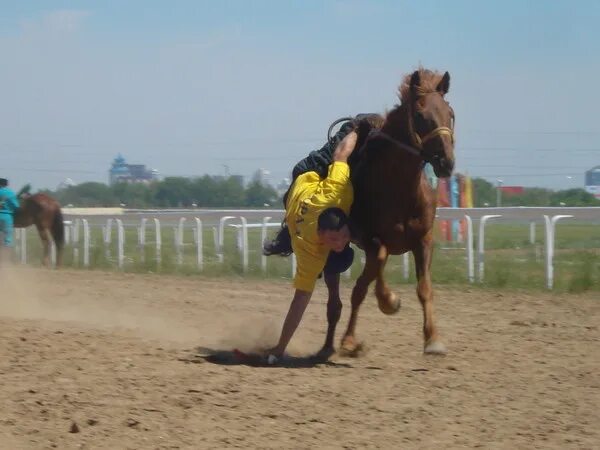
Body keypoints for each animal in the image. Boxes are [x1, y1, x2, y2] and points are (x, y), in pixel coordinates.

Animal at [318, 67, 454, 358]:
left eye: (450, 113)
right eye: (420, 116)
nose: (446, 162)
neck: (400, 189)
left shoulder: (424, 240)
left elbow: (424, 288)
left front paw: (433, 340)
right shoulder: (370, 239)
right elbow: (370, 277)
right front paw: (388, 303)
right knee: (339, 299)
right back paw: (333, 345)